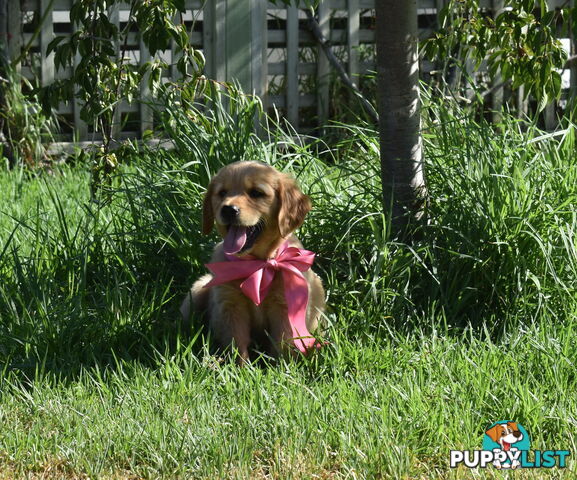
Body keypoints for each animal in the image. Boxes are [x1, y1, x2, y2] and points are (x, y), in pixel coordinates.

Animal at [180, 161, 324, 364]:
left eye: (256, 193)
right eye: (222, 193)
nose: (228, 209)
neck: (258, 265)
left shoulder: (285, 306)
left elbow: (283, 342)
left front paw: (282, 367)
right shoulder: (230, 305)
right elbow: (236, 341)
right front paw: (239, 367)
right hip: (199, 289)